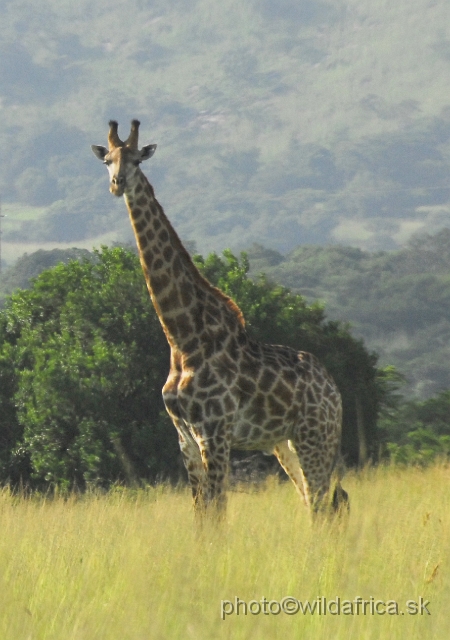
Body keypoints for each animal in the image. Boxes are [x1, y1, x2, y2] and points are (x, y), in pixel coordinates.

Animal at [91, 120, 348, 516]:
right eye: (107, 161)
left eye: (136, 160)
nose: (117, 184)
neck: (182, 337)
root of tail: (334, 390)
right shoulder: (185, 437)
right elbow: (202, 514)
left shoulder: (214, 430)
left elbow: (218, 511)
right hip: (285, 443)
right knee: (318, 502)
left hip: (315, 436)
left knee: (323, 504)